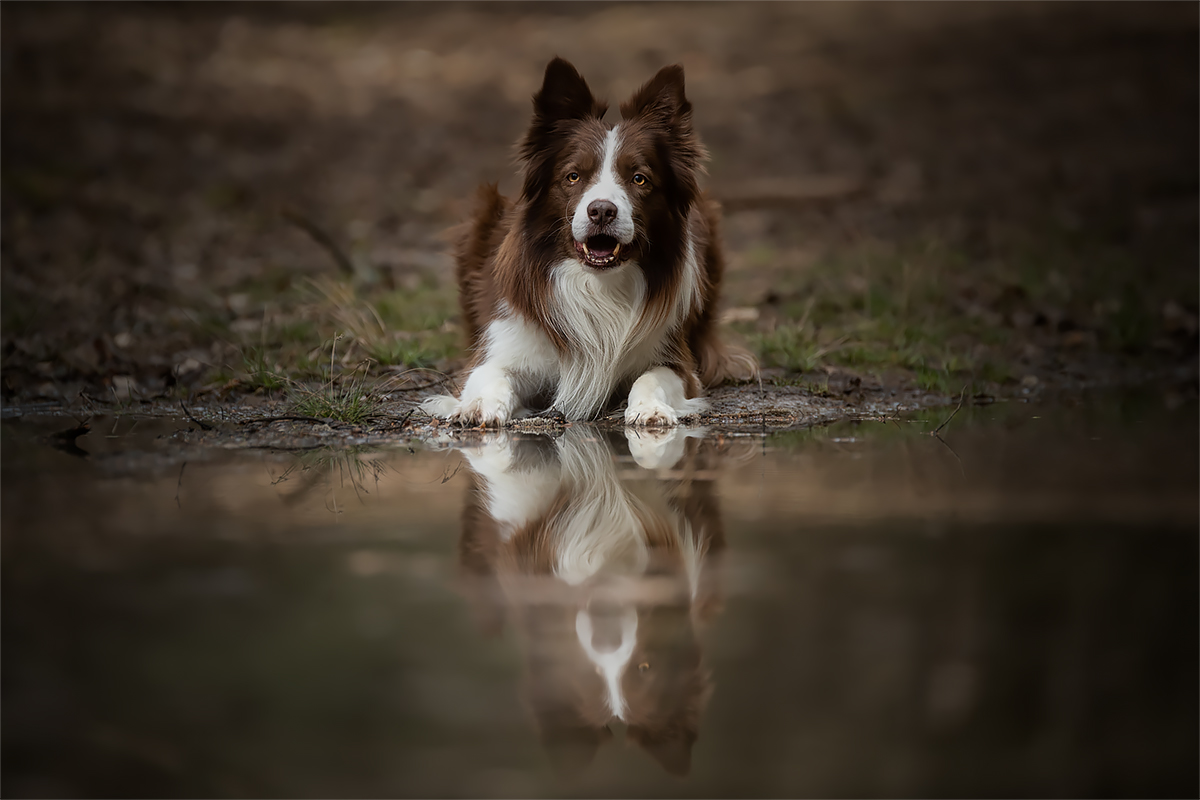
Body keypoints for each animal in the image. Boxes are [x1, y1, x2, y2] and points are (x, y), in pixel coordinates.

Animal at [427, 58, 753, 429]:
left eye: (639, 178)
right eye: (573, 176)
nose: (601, 211)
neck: (597, 284)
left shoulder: (676, 359)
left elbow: (651, 377)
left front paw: (650, 409)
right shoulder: (503, 345)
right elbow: (491, 376)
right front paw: (478, 406)